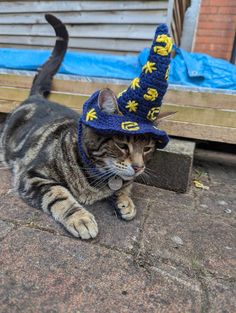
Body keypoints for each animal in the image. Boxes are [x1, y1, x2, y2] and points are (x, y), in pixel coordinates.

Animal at [0, 14, 166, 239]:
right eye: (122, 145)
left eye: (147, 148)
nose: (139, 167)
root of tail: (36, 97)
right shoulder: (32, 175)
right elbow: (59, 194)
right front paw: (80, 218)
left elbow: (126, 186)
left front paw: (126, 202)